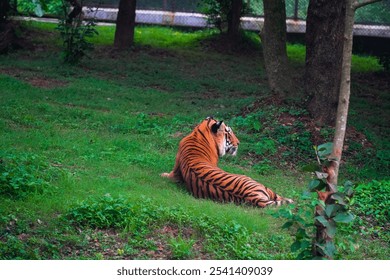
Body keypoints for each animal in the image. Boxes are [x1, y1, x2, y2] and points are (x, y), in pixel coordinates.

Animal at [161, 116, 292, 208]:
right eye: (228, 132)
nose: (238, 142)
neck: (198, 134)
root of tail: (256, 199)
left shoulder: (177, 165)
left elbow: (170, 175)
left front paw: (162, 175)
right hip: (257, 183)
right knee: (281, 197)